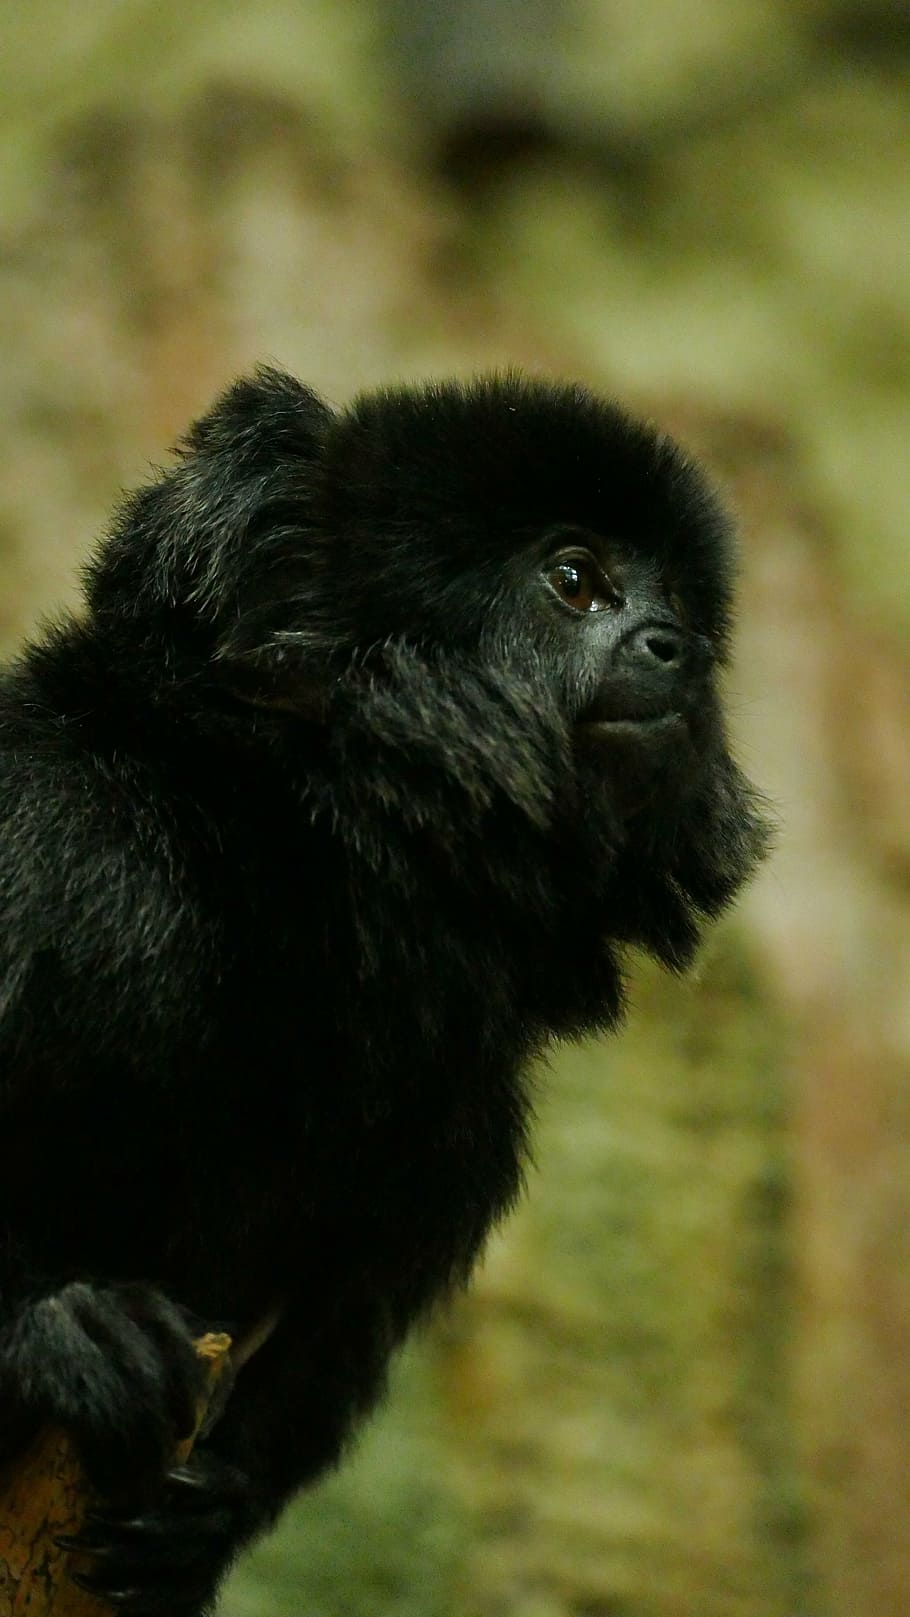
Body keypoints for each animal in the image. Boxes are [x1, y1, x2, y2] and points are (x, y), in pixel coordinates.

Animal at [0, 368, 769, 1614]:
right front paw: (54, 1329)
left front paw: (209, 1517)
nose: (675, 649)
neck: (296, 854)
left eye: (687, 615)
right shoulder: (69, 854)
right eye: (575, 580)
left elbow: (337, 1334)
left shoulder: (464, 1124)